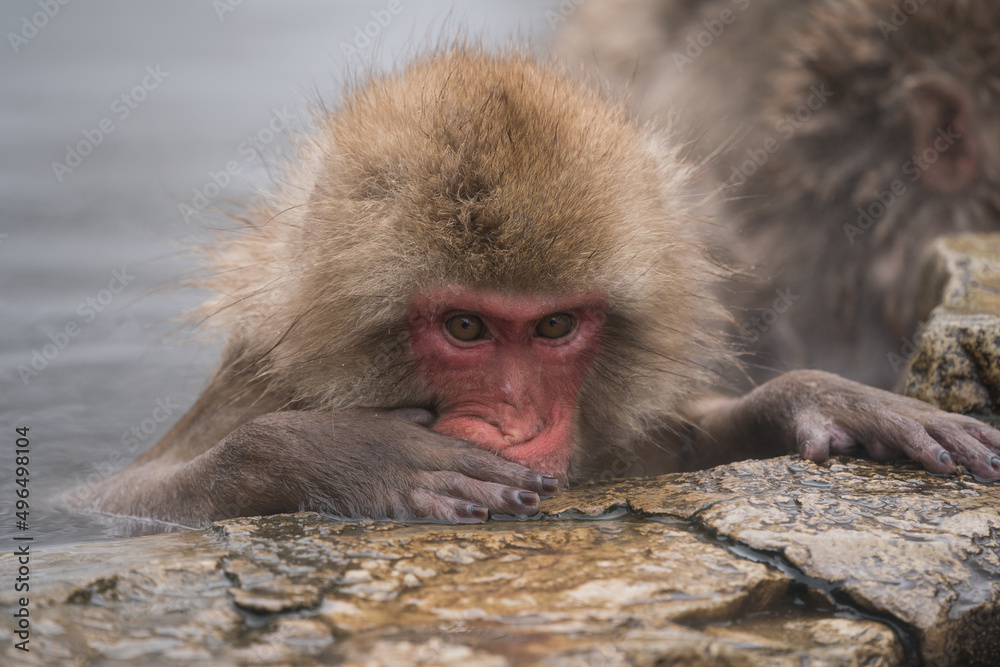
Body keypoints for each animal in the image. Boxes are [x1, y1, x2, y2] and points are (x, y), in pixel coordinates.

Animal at [82, 47, 1000, 529]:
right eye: (465, 327)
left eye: (555, 326)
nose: (519, 423)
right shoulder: (254, 383)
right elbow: (106, 501)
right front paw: (343, 454)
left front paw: (823, 395)